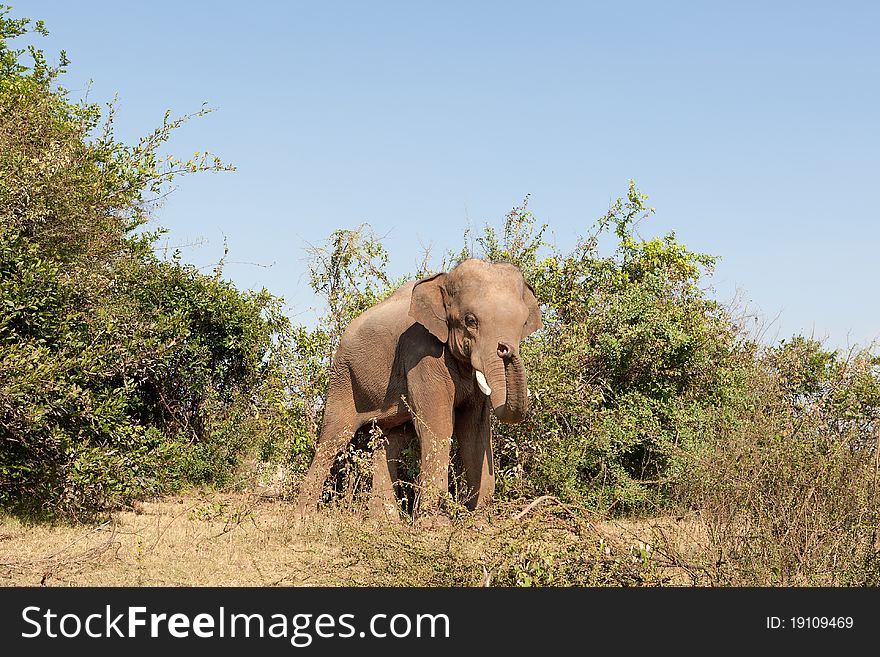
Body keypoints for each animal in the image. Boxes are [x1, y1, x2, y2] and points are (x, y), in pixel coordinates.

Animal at [300, 256, 540, 516]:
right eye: (470, 321)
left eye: (523, 323)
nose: (505, 348)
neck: (444, 280)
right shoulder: (421, 350)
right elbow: (439, 425)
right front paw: (434, 521)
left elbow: (475, 427)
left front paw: (478, 520)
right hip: (344, 377)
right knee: (333, 438)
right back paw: (304, 517)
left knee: (388, 442)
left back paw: (384, 521)